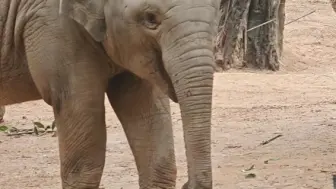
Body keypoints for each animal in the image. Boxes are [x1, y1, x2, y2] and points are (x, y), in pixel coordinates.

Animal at [0, 0, 219, 188]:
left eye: (216, 14)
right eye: (150, 18)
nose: (187, 184)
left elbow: (151, 130)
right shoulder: (55, 27)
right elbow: (84, 163)